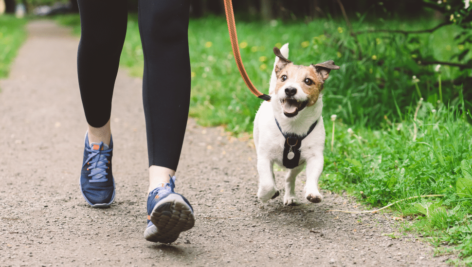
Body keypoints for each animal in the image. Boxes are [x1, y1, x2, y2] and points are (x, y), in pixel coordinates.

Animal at [254, 44, 340, 206]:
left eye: (308, 81)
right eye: (284, 78)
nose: (290, 90)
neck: (292, 127)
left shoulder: (315, 157)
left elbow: (312, 176)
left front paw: (312, 192)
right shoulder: (264, 156)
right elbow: (267, 183)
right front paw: (264, 195)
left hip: (297, 165)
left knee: (289, 178)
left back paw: (290, 196)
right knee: (271, 176)